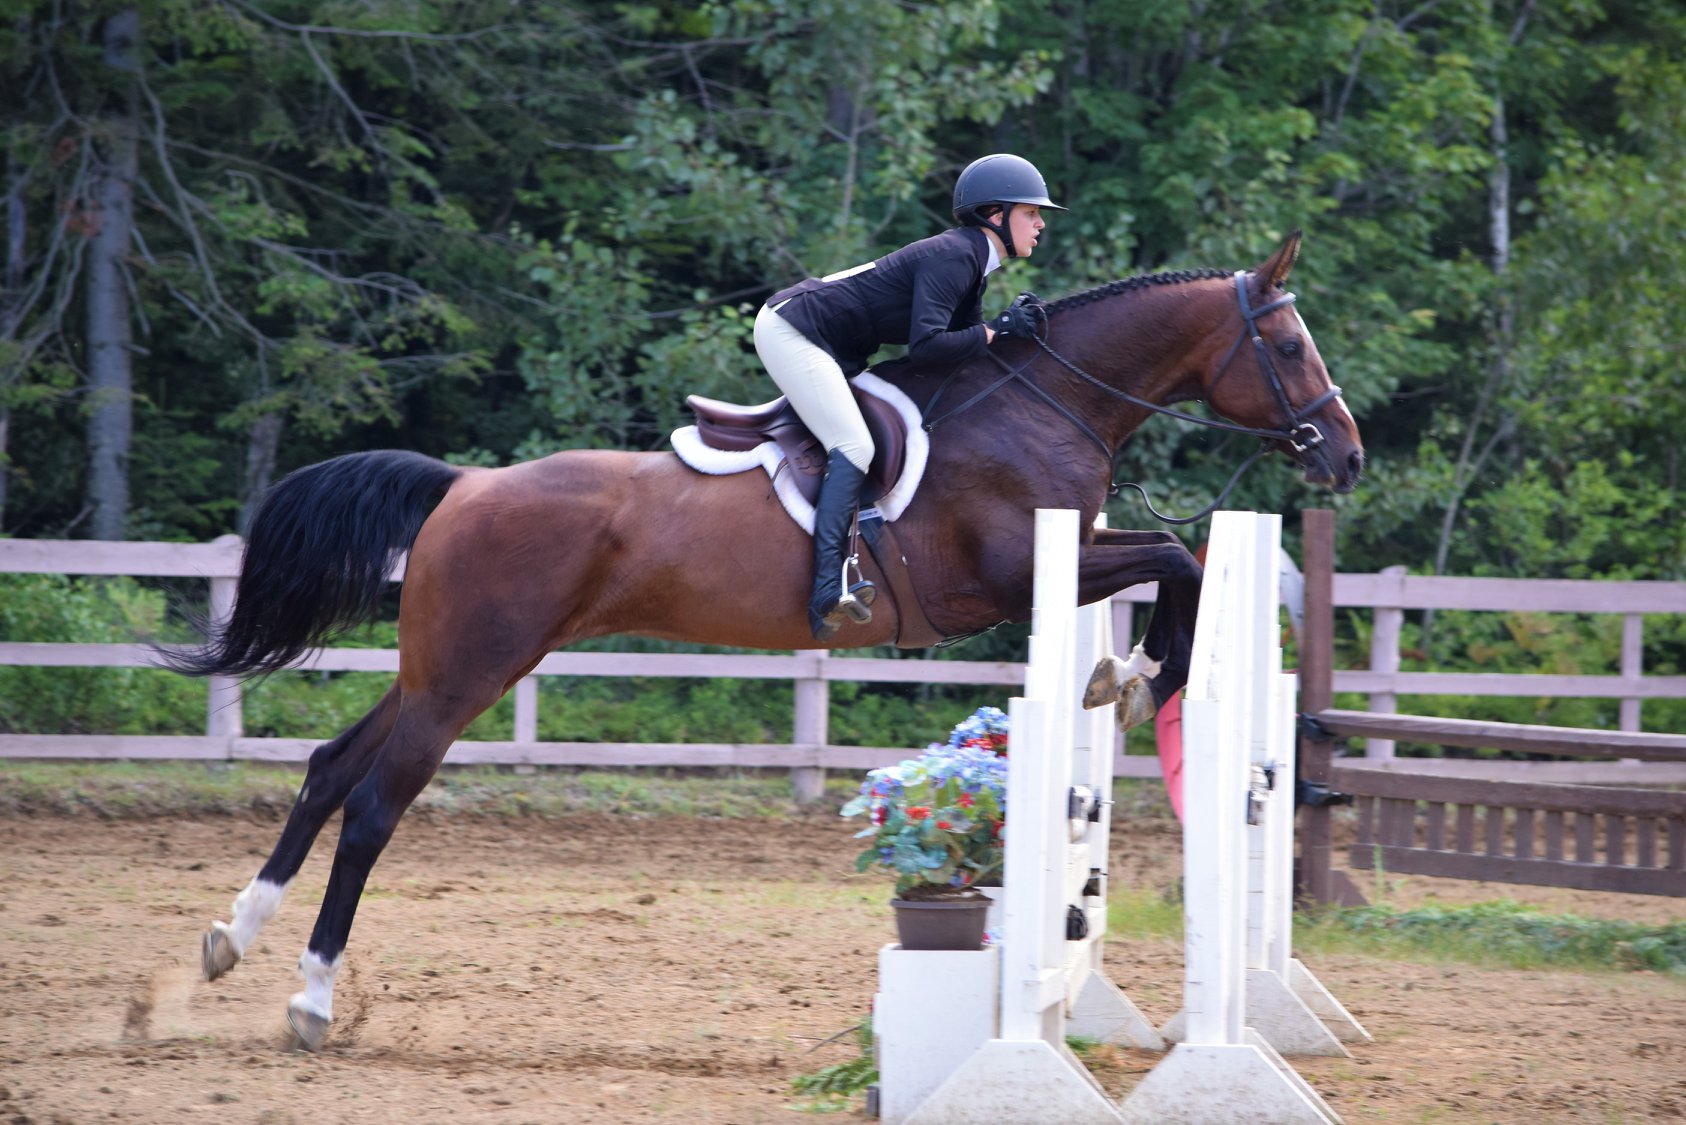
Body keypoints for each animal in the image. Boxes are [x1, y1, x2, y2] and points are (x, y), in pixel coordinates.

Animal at [164, 229, 1362, 1045]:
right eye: (1289, 343)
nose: (1346, 455)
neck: (1040, 400)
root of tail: (462, 485)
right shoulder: (1005, 577)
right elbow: (1178, 560)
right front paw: (1141, 670)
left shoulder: (1059, 559)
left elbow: (1176, 557)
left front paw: (1125, 670)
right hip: (469, 670)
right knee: (373, 804)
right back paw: (312, 997)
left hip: (445, 666)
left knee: (329, 769)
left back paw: (231, 940)